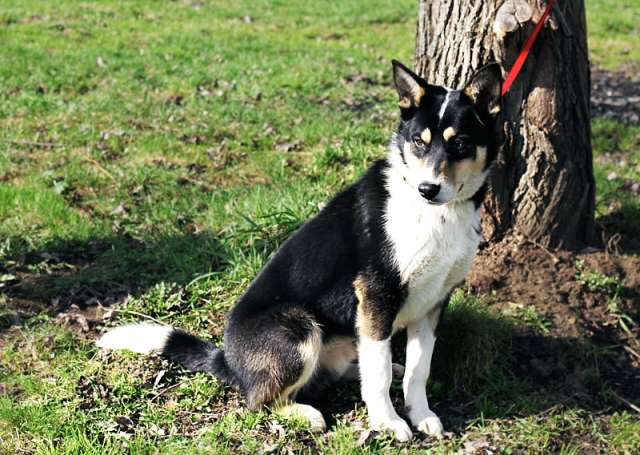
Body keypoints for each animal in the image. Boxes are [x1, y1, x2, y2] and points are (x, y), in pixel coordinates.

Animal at [97, 60, 502, 442]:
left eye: (460, 143)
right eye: (419, 141)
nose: (427, 189)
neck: (438, 216)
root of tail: (227, 361)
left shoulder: (433, 302)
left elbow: (419, 369)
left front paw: (420, 414)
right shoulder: (377, 295)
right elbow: (380, 375)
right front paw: (388, 422)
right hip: (299, 327)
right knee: (260, 400)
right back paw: (304, 414)